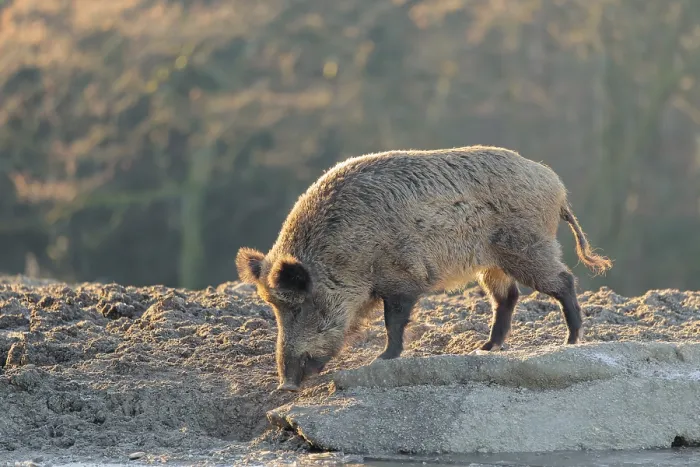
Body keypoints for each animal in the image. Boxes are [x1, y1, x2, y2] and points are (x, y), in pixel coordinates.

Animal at [235, 146, 612, 391]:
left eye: (299, 306)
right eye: (274, 308)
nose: (285, 386)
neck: (345, 253)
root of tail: (556, 187)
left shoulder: (401, 278)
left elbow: (394, 322)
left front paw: (381, 359)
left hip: (527, 248)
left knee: (563, 280)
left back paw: (571, 340)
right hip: (492, 263)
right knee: (507, 298)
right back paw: (485, 348)